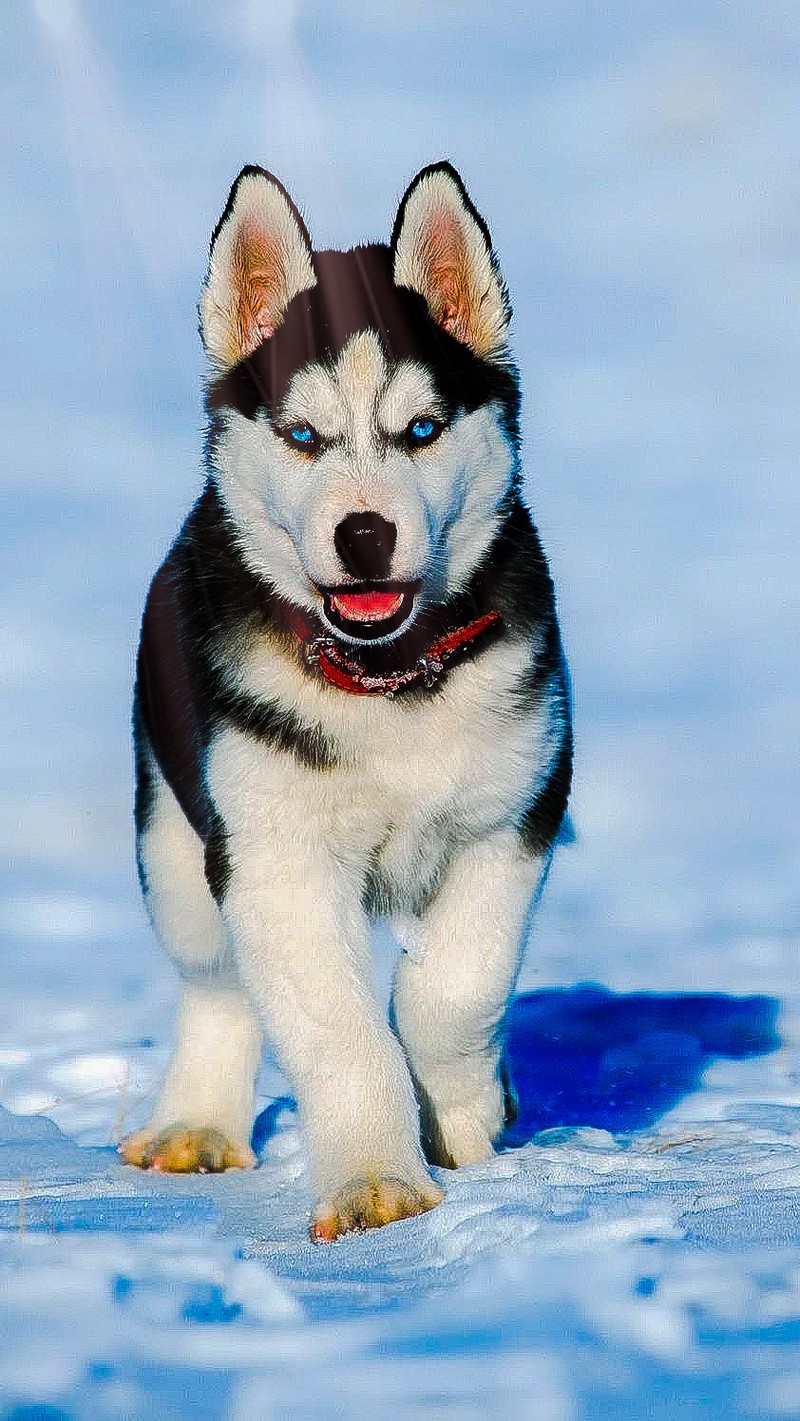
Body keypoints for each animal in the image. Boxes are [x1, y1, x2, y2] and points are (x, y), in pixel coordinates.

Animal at [122, 161, 574, 1239]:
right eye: (301, 435)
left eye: (421, 430)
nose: (363, 533)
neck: (386, 684)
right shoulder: (272, 855)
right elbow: (335, 1025)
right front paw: (377, 1179)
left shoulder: (513, 815)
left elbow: (454, 989)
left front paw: (460, 1112)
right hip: (173, 840)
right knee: (215, 982)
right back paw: (195, 1122)